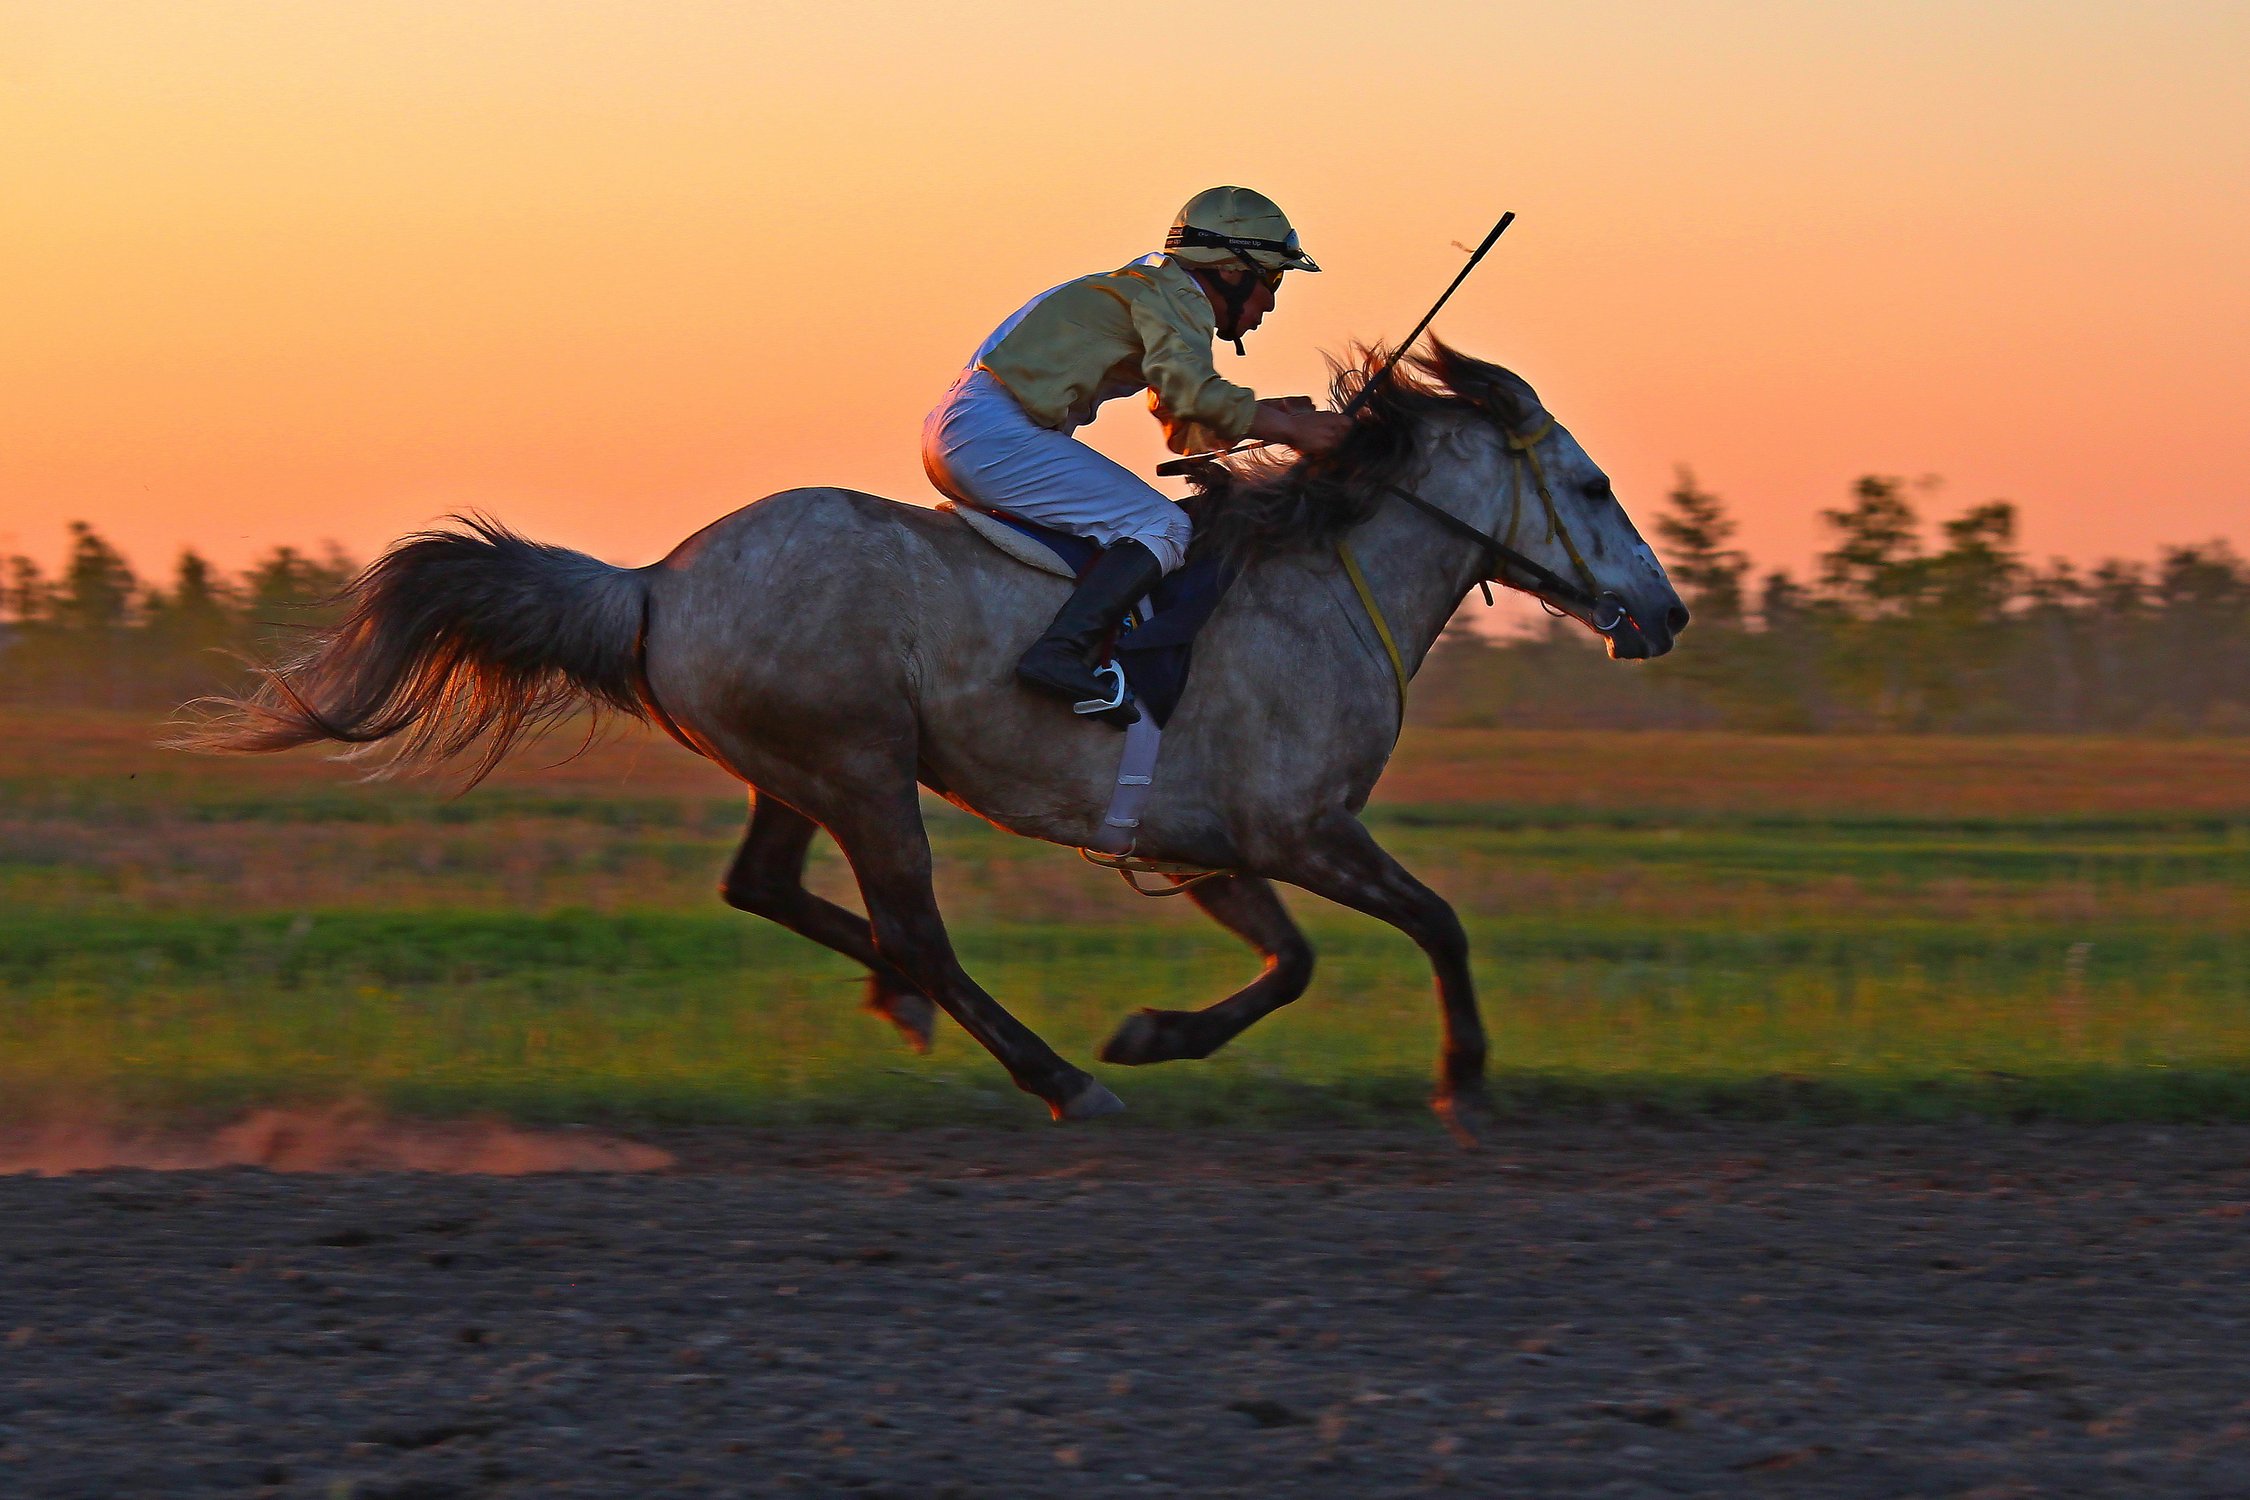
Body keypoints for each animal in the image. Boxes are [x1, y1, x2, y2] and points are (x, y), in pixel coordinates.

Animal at [180, 344, 1692, 1137]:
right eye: (1590, 483)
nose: (1666, 611)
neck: (1322, 583)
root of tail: (658, 579)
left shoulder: (1213, 844)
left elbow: (1296, 962)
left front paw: (1157, 1030)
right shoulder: (1302, 827)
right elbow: (1432, 921)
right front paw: (1462, 1072)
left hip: (801, 768)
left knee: (775, 889)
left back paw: (919, 1008)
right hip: (861, 768)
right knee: (915, 924)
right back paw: (1050, 1072)